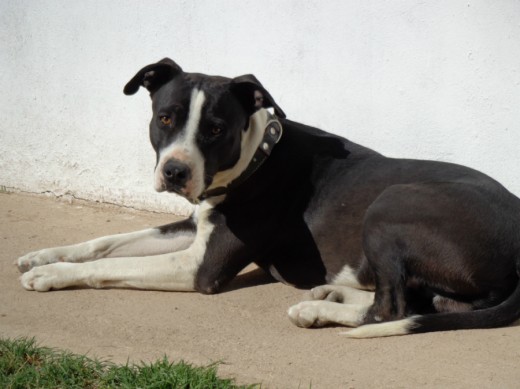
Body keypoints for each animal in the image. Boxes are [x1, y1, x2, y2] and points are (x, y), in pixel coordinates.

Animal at [16, 58, 520, 336]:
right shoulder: (193, 226)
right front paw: (43, 256)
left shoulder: (201, 268)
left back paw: (316, 309)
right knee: (420, 303)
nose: (175, 172)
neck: (255, 157)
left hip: (391, 204)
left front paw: (53, 275)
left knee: (392, 308)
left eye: (215, 129)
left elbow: (112, 264)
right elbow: (107, 243)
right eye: (165, 118)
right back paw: (332, 292)